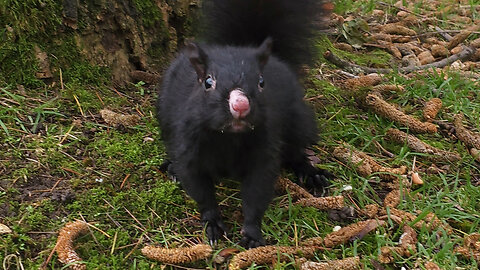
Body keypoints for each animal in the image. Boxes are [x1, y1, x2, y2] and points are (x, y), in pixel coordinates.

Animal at [156, 0, 332, 249]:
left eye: (261, 82)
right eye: (208, 82)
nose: (240, 105)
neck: (229, 137)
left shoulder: (263, 153)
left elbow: (256, 193)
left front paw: (251, 233)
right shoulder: (189, 148)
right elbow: (200, 190)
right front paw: (212, 222)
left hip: (297, 121)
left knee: (295, 150)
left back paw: (311, 174)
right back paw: (172, 167)